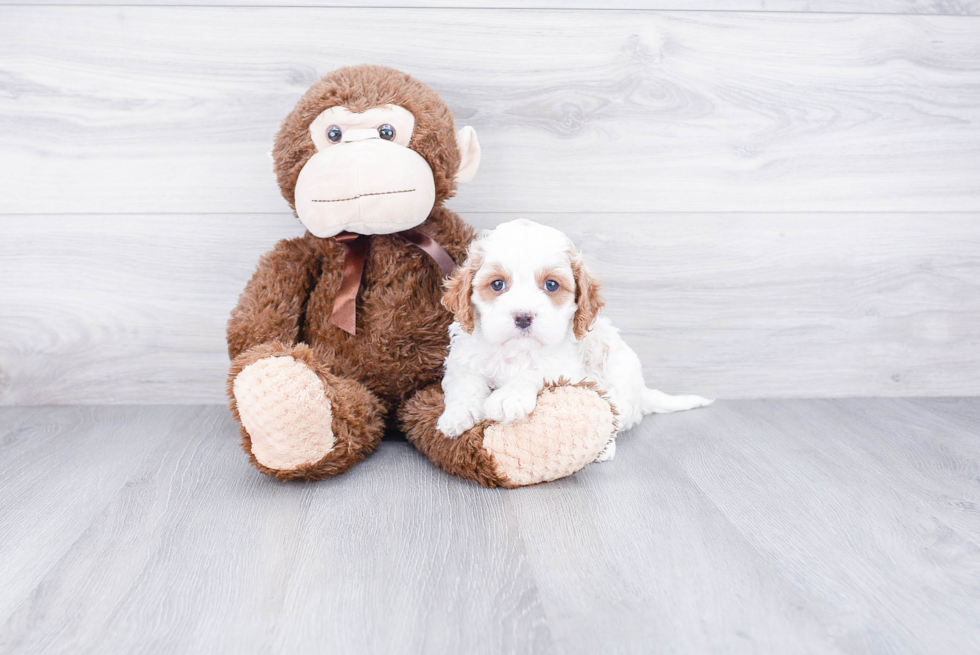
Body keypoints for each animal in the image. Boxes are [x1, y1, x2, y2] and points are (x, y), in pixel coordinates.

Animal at [438, 220, 712, 462]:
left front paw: (510, 397)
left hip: (619, 378)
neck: (518, 351)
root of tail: (641, 393)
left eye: (551, 285)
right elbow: (465, 384)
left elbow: (535, 372)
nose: (523, 317)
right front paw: (457, 415)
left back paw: (604, 449)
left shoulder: (565, 368)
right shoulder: (463, 360)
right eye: (497, 284)